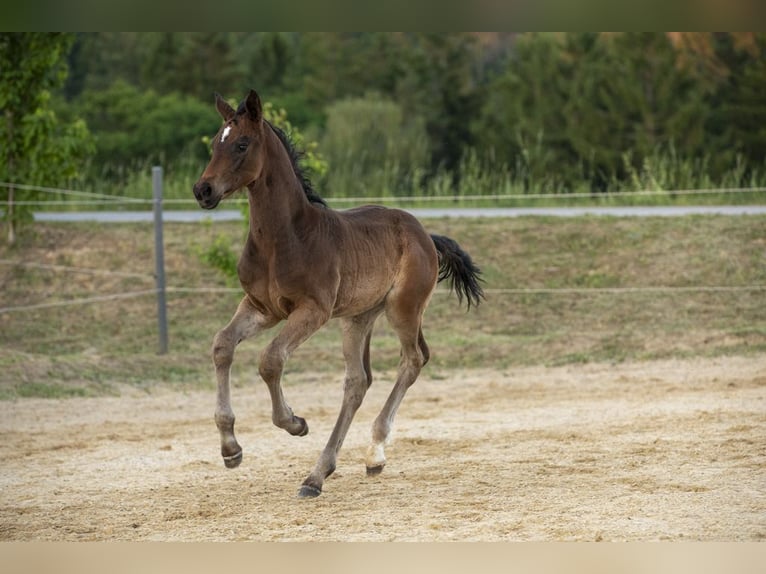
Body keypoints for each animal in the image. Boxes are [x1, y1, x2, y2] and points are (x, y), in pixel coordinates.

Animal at [193, 89, 484, 497]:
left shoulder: (312, 310)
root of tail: (425, 235)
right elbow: (222, 345)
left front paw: (295, 422)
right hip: (359, 317)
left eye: (241, 144)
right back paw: (335, 468)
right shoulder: (261, 307)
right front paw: (231, 449)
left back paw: (356, 458)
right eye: (215, 142)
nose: (202, 190)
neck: (286, 237)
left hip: (402, 308)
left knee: (410, 361)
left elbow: (271, 360)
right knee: (359, 381)